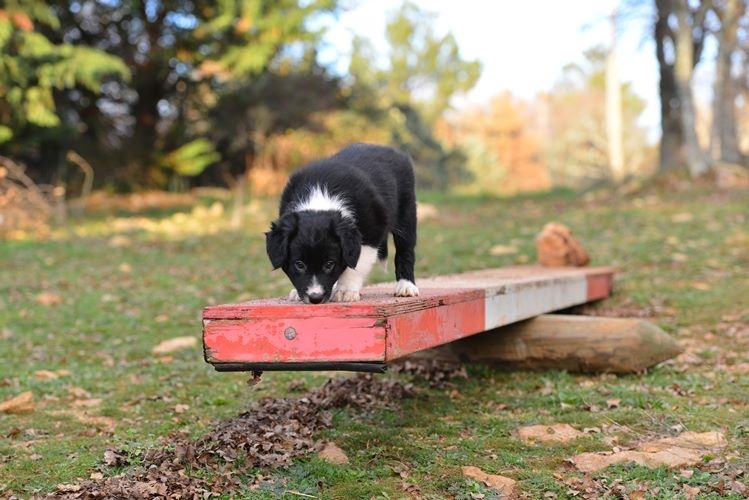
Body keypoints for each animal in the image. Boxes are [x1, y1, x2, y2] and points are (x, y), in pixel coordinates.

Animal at [264, 143, 418, 302]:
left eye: (329, 264)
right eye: (299, 264)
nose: (315, 298)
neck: (320, 196)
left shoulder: (372, 231)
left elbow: (356, 264)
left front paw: (346, 291)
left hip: (406, 212)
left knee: (405, 251)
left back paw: (406, 286)